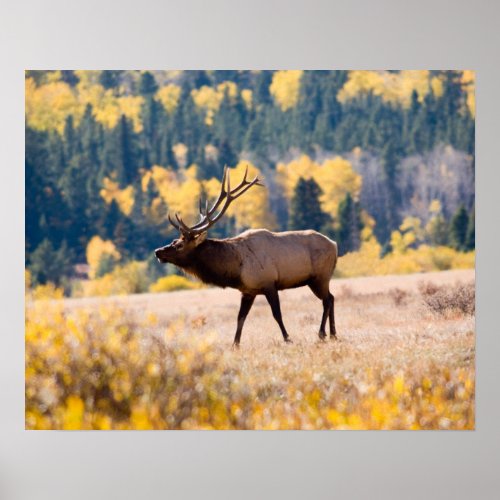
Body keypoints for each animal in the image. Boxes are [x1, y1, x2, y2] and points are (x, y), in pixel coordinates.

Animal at [154, 166, 338, 346]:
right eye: (174, 240)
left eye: (179, 245)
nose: (158, 251)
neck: (235, 269)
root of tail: (335, 244)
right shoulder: (248, 291)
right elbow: (240, 317)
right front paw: (235, 345)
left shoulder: (269, 283)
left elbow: (277, 314)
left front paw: (287, 338)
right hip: (319, 279)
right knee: (331, 297)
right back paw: (333, 334)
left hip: (320, 277)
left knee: (327, 300)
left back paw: (322, 334)